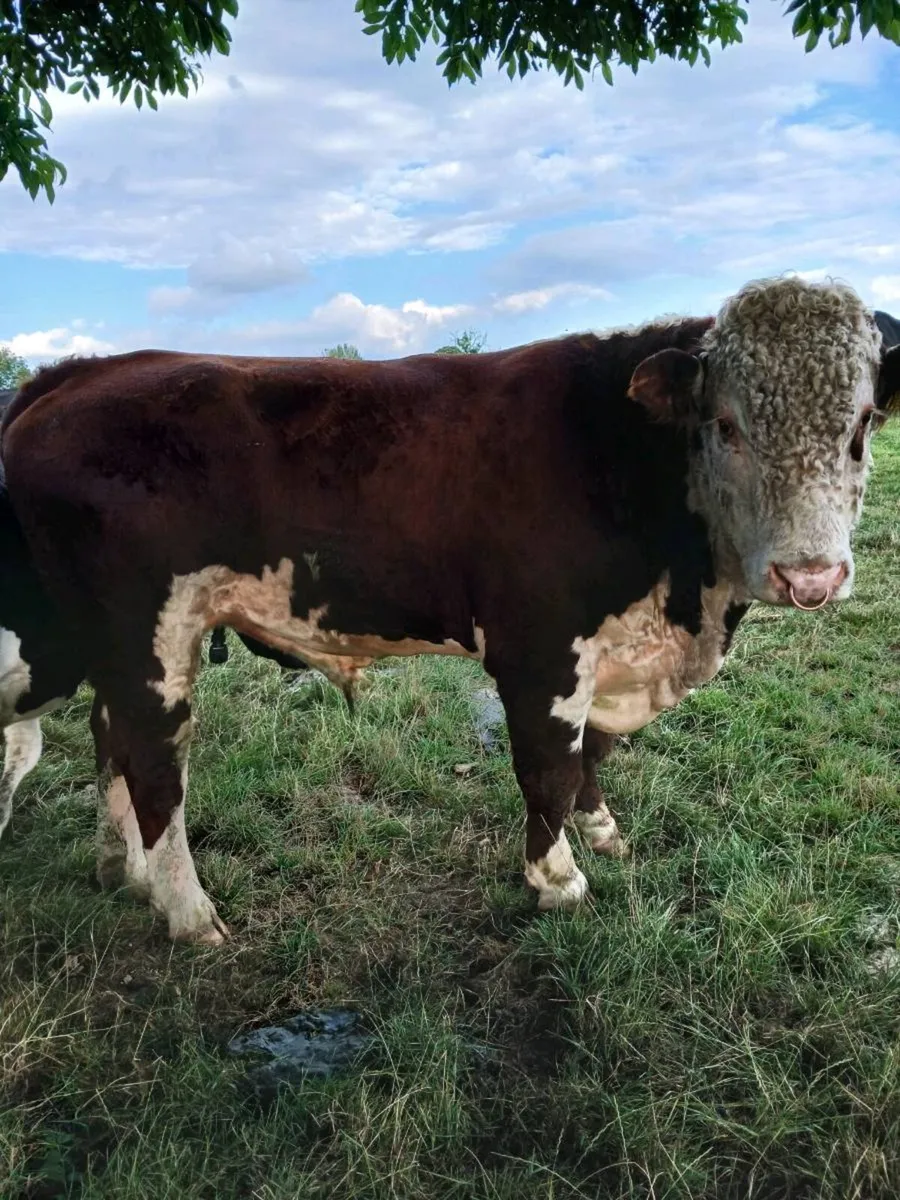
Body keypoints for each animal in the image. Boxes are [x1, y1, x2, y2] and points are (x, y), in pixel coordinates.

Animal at [1, 276, 898, 946]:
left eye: (862, 424)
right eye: (726, 425)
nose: (811, 576)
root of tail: (79, 372)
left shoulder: (609, 649)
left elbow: (596, 754)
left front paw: (603, 832)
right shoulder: (539, 649)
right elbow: (550, 765)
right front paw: (558, 880)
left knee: (110, 744)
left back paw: (124, 870)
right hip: (149, 636)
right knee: (154, 764)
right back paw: (188, 912)